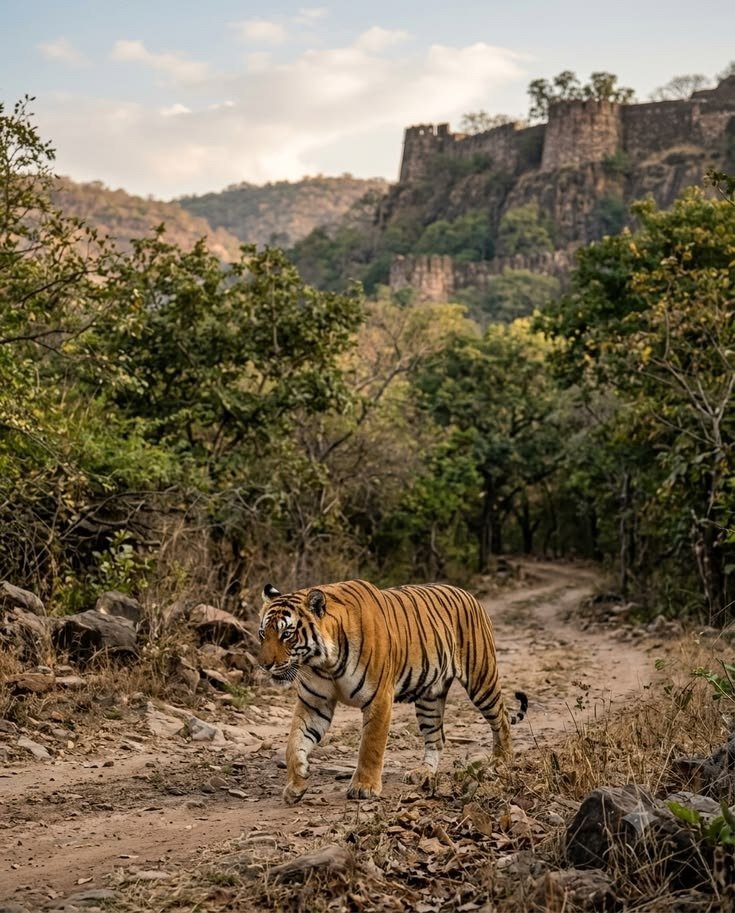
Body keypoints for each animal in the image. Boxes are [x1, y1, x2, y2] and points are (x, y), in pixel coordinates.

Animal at [257, 578, 527, 804]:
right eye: (262, 634)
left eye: (286, 634)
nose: (264, 664)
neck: (324, 663)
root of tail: (469, 594)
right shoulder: (315, 702)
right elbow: (294, 742)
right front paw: (296, 783)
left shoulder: (378, 698)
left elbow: (371, 745)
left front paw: (364, 787)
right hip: (429, 697)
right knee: (436, 738)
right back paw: (423, 773)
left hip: (482, 679)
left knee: (502, 719)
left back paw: (501, 762)